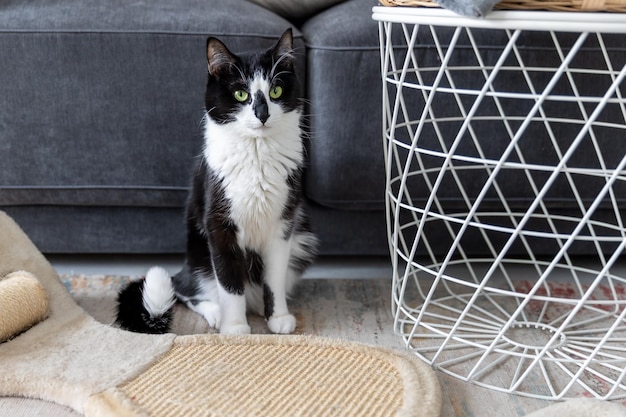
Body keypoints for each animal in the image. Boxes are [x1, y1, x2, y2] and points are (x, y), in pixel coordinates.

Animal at [114, 28, 316, 334]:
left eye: (276, 91)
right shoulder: (218, 223)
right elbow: (230, 282)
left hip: (302, 241)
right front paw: (235, 327)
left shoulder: (283, 224)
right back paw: (217, 312)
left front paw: (278, 317)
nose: (262, 114)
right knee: (186, 289)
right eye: (241, 94)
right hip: (198, 256)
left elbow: (275, 277)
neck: (257, 153)